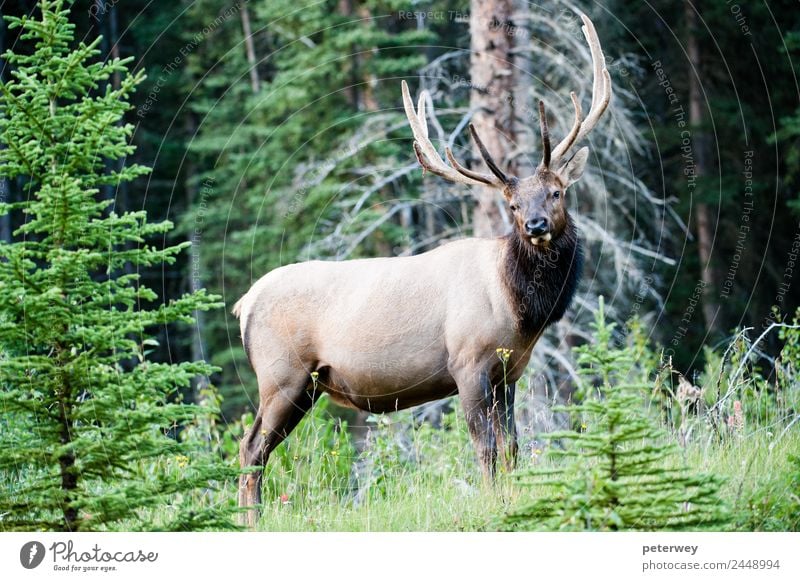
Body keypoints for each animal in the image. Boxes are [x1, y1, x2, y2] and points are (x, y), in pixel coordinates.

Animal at [234, 13, 608, 524]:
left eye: (556, 192)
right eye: (512, 204)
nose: (535, 226)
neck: (521, 310)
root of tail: (243, 304)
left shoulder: (509, 373)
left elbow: (512, 448)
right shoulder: (468, 363)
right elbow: (485, 449)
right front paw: (493, 505)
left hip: (304, 386)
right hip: (281, 375)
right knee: (251, 448)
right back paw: (251, 521)